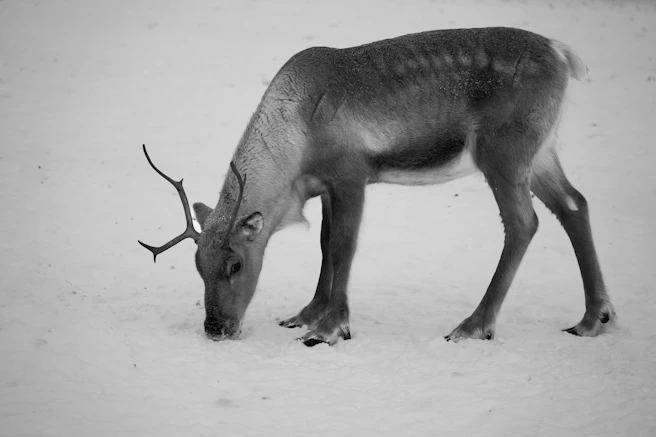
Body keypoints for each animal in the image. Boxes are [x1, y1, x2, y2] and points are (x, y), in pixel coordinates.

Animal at [139, 27, 615, 346]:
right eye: (197, 265)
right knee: (576, 204)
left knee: (524, 223)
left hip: (504, 152)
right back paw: (594, 318)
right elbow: (325, 244)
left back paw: (474, 325)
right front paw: (306, 315)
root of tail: (563, 55)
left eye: (236, 264)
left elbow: (344, 246)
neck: (297, 145)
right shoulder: (326, 186)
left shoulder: (351, 173)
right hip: (542, 152)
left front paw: (330, 328)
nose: (215, 329)